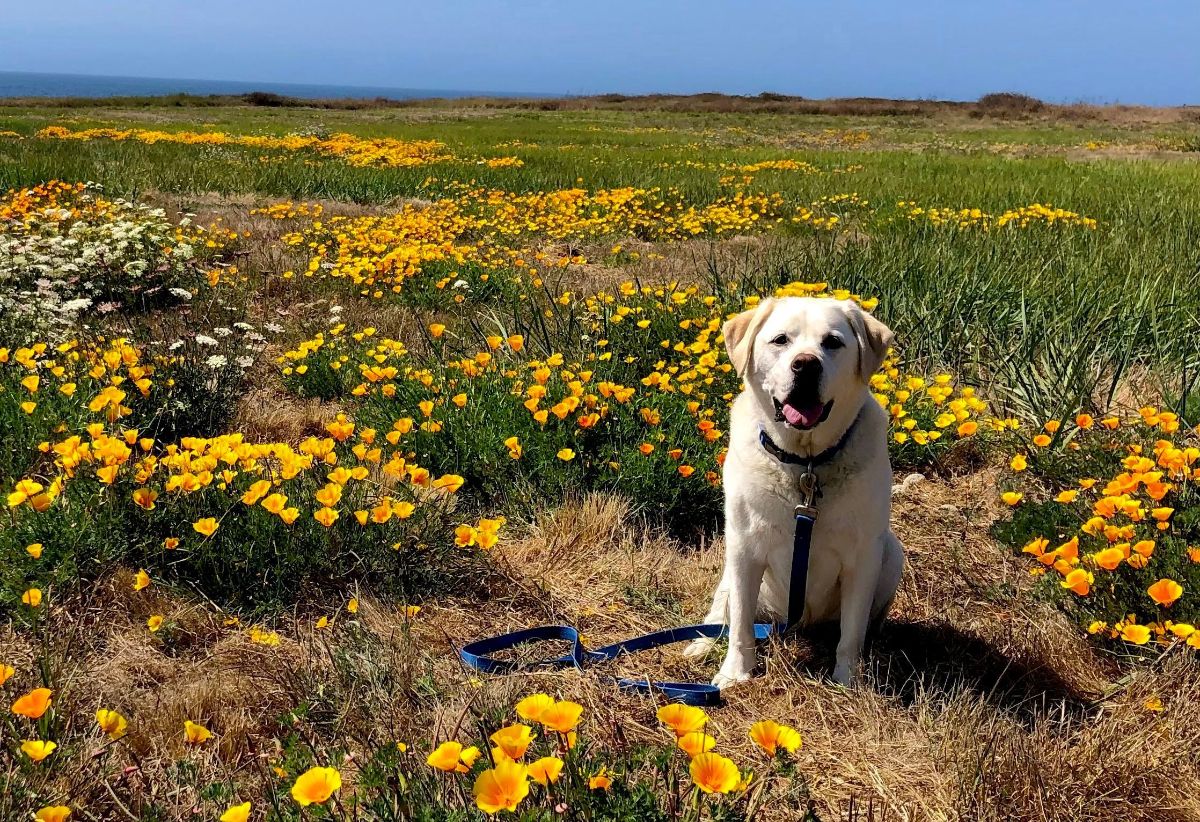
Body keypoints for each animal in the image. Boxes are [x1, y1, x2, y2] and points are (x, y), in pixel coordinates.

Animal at [686, 295, 902, 686]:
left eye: (832, 342)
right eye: (780, 340)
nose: (806, 365)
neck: (807, 464)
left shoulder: (863, 556)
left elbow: (851, 633)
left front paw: (848, 681)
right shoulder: (744, 547)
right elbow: (740, 625)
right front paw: (735, 672)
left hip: (892, 553)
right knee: (722, 613)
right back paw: (702, 643)